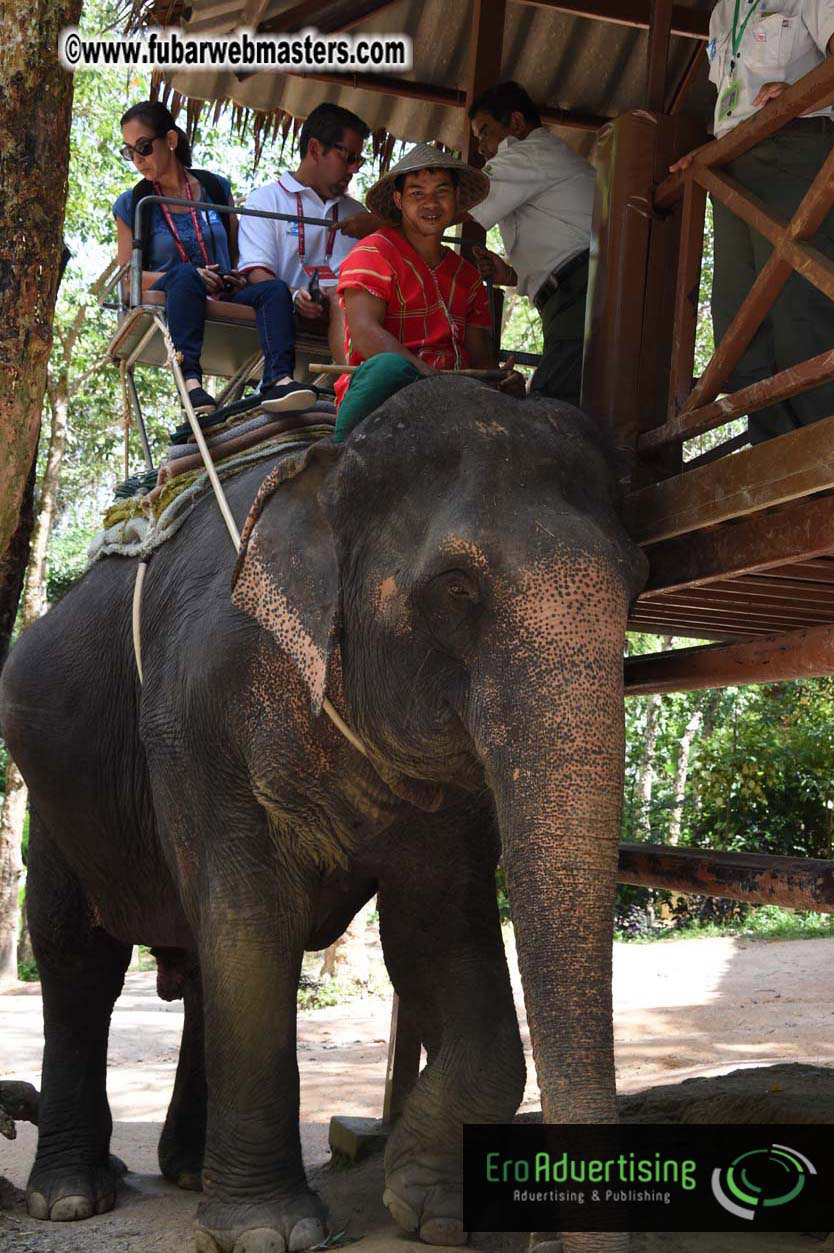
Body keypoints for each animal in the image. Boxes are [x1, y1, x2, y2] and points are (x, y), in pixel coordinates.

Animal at [0, 378, 647, 1253]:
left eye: (637, 584)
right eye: (455, 590)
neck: (333, 462)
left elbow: (437, 929)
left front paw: (429, 1208)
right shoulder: (199, 715)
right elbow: (253, 921)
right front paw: (269, 1233)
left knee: (196, 960)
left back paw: (189, 1171)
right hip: (56, 794)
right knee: (80, 957)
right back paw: (72, 1196)